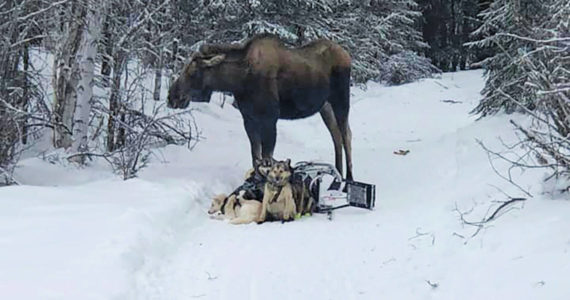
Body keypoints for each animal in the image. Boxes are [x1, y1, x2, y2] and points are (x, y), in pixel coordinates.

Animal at [164, 35, 350, 180]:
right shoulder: (249, 119)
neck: (239, 81)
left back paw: (349, 178)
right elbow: (255, 156)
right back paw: (338, 174)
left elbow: (267, 157)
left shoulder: (270, 119)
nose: (172, 97)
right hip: (325, 106)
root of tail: (347, 55)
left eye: (193, 72)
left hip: (341, 100)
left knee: (346, 135)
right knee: (336, 135)